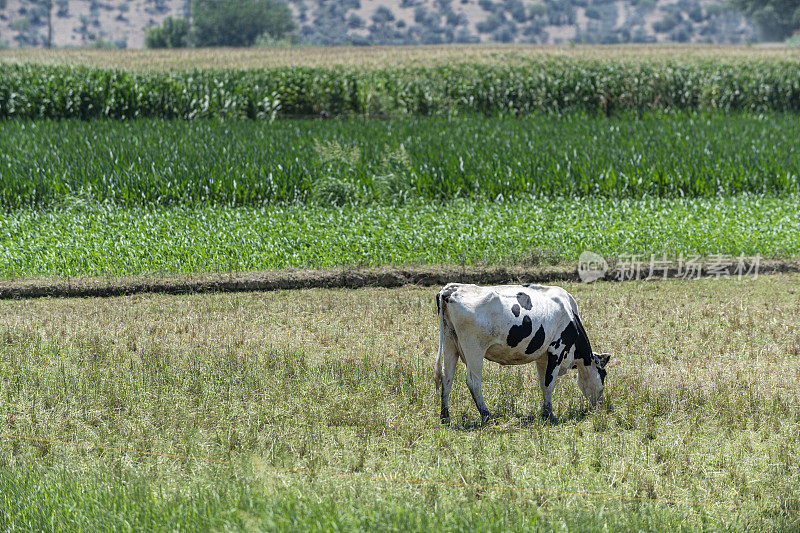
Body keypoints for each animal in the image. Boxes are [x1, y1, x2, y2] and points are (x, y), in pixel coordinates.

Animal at [434, 280, 608, 422]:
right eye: (603, 374)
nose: (602, 403)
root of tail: (452, 289)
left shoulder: (543, 357)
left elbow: (543, 383)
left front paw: (545, 412)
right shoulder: (557, 350)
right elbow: (549, 383)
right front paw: (549, 415)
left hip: (450, 344)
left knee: (447, 378)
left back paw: (445, 417)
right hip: (474, 349)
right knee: (473, 381)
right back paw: (487, 414)